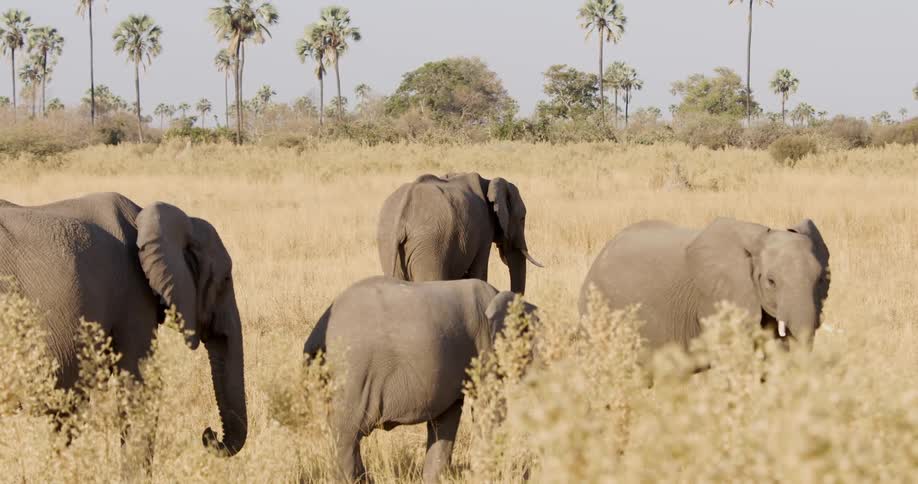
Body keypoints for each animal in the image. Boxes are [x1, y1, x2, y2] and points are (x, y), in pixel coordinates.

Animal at [303, 276, 538, 483]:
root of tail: (317, 335)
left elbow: (447, 417)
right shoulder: (484, 351)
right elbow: (489, 410)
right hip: (353, 373)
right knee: (347, 434)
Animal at [377, 172, 542, 294]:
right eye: (522, 218)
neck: (489, 182)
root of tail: (403, 210)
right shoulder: (484, 230)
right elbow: (479, 271)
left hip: (387, 241)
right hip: (430, 245)